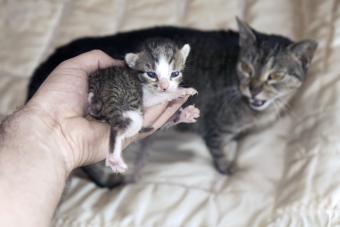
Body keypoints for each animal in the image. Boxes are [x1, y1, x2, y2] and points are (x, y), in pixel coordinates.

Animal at [87, 38, 199, 174]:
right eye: (151, 74)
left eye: (175, 73)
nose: (164, 87)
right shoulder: (146, 98)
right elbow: (162, 96)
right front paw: (182, 91)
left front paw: (186, 114)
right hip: (128, 105)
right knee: (120, 126)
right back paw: (114, 159)